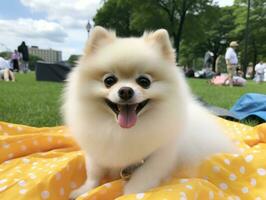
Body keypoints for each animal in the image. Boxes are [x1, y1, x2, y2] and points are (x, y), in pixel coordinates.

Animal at [62, 26, 237, 198]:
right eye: (109, 81)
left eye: (144, 82)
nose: (126, 91)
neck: (122, 131)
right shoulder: (95, 150)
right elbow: (93, 172)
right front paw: (84, 190)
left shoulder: (158, 156)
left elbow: (141, 179)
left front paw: (130, 194)